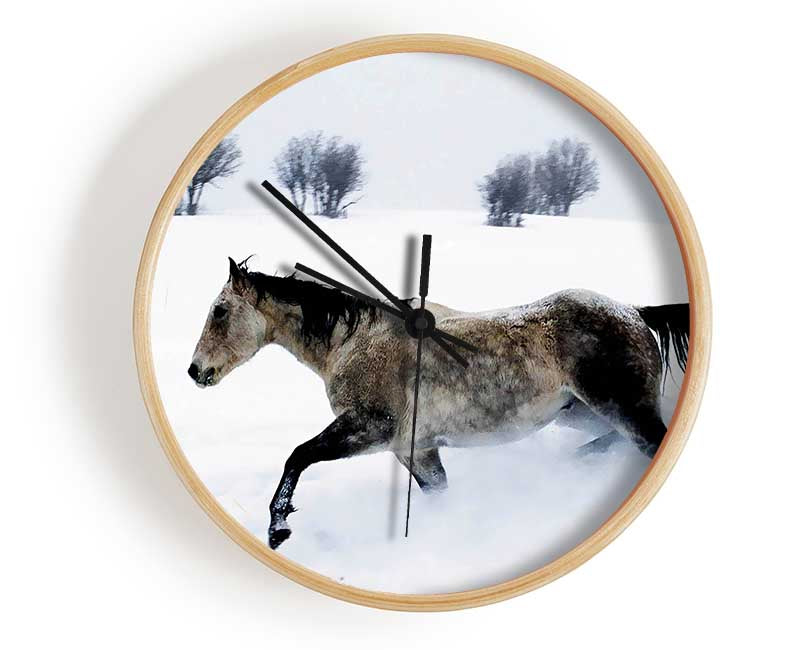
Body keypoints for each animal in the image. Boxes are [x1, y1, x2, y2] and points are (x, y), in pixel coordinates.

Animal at [188, 257, 689, 550]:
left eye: (220, 311)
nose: (195, 371)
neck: (353, 340)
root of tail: (634, 312)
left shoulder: (371, 427)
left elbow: (297, 456)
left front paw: (278, 529)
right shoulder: (415, 449)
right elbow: (439, 492)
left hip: (623, 409)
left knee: (650, 442)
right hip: (580, 414)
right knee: (616, 443)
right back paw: (575, 465)